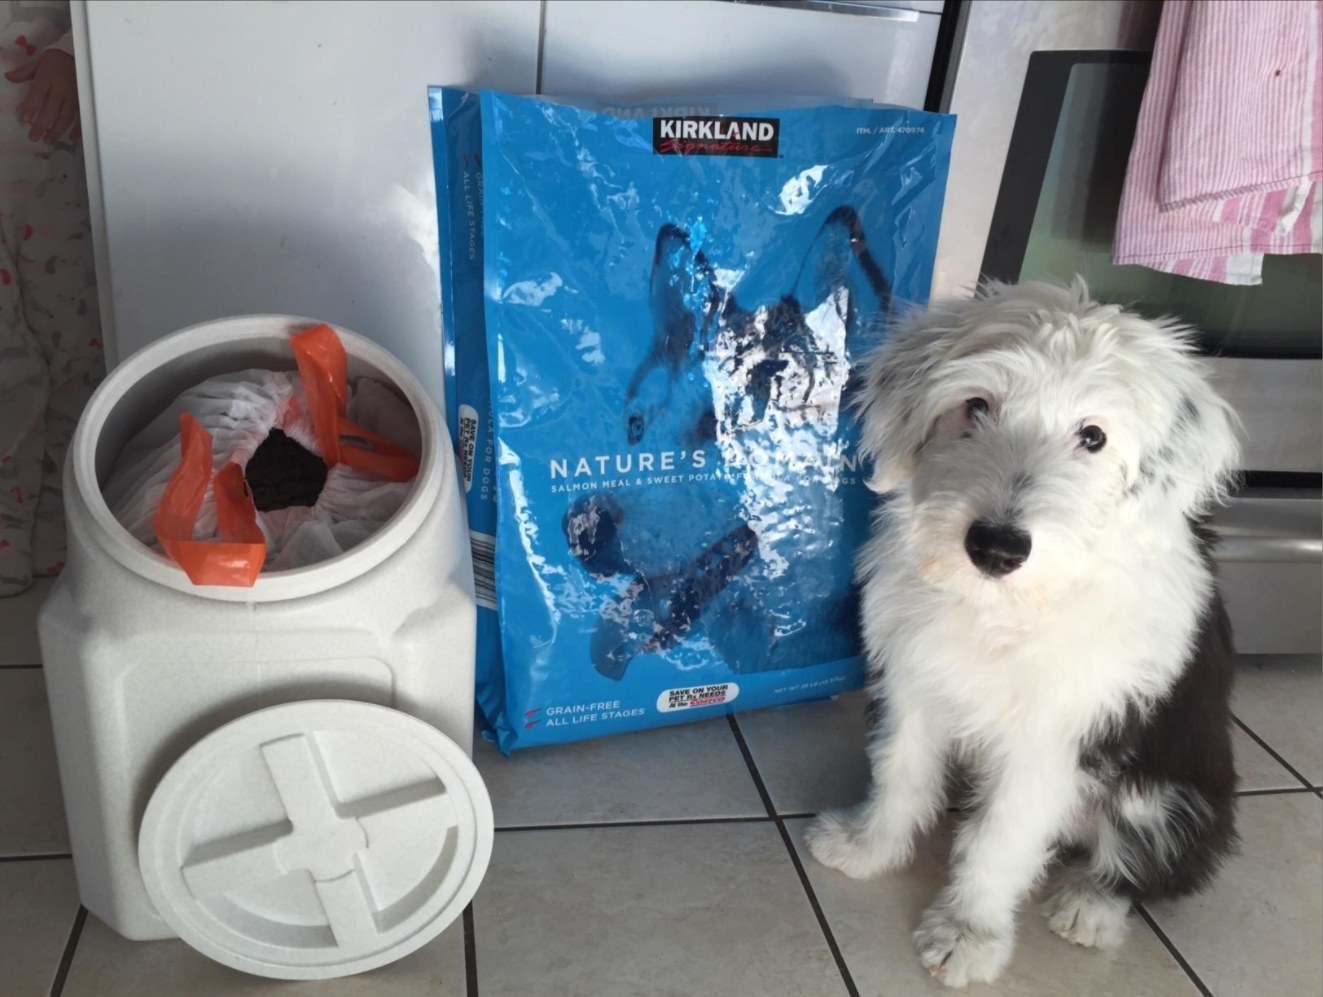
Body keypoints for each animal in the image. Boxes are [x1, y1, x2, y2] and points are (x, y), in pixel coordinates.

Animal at [804, 281, 1238, 989]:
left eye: (1093, 436)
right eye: (976, 405)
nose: (996, 547)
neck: (1005, 607)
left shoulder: (1052, 739)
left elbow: (1000, 836)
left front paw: (967, 934)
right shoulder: (916, 682)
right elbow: (901, 772)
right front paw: (869, 847)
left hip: (1171, 794)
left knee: (1154, 864)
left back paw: (1091, 906)